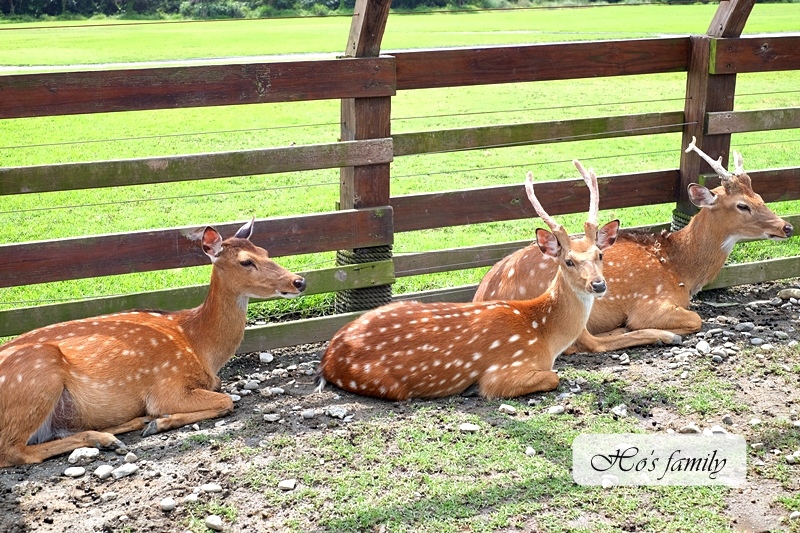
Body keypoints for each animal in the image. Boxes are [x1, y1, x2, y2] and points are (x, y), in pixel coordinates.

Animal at [0, 218, 306, 464]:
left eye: (265, 252)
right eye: (246, 261)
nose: (299, 281)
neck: (199, 345)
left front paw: (155, 422)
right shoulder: (167, 385)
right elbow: (226, 401)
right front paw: (161, 421)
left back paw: (129, 426)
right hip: (38, 377)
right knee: (13, 452)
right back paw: (107, 438)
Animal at [318, 162, 620, 400]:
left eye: (600, 254)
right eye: (568, 260)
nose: (598, 285)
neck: (545, 336)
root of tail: (328, 357)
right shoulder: (505, 371)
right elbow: (553, 377)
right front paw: (472, 388)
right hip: (383, 383)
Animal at [476, 137, 792, 354]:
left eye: (759, 197)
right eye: (742, 205)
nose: (786, 226)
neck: (680, 270)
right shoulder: (651, 302)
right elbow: (695, 319)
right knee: (585, 343)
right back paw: (659, 335)